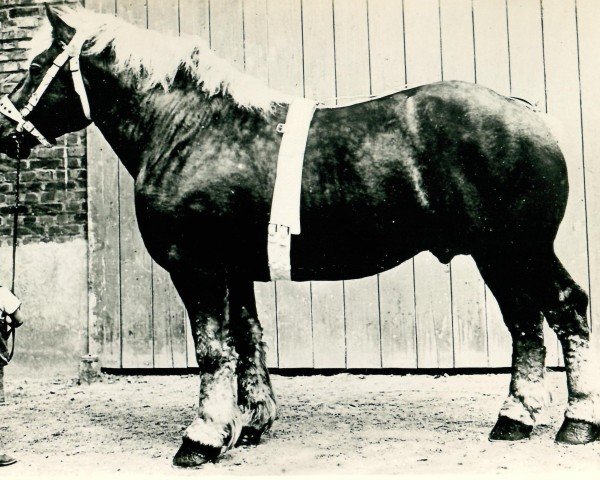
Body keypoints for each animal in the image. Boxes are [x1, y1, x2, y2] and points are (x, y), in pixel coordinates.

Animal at [0, 5, 596, 466]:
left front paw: (201, 440)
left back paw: (576, 422)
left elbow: (212, 350)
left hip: (519, 249)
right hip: (497, 255)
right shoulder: (235, 270)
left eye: (36, 66)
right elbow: (248, 340)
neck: (189, 130)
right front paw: (250, 424)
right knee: (525, 324)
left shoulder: (196, 267)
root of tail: (524, 111)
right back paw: (515, 419)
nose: (7, 134)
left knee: (567, 309)